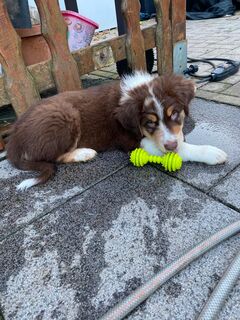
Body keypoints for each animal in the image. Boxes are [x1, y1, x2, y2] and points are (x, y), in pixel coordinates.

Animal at [6, 72, 227, 190]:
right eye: (149, 123)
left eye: (175, 114)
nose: (171, 144)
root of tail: (14, 138)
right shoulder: (134, 141)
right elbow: (180, 150)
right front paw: (211, 153)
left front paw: (181, 138)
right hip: (65, 115)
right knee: (54, 157)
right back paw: (83, 153)